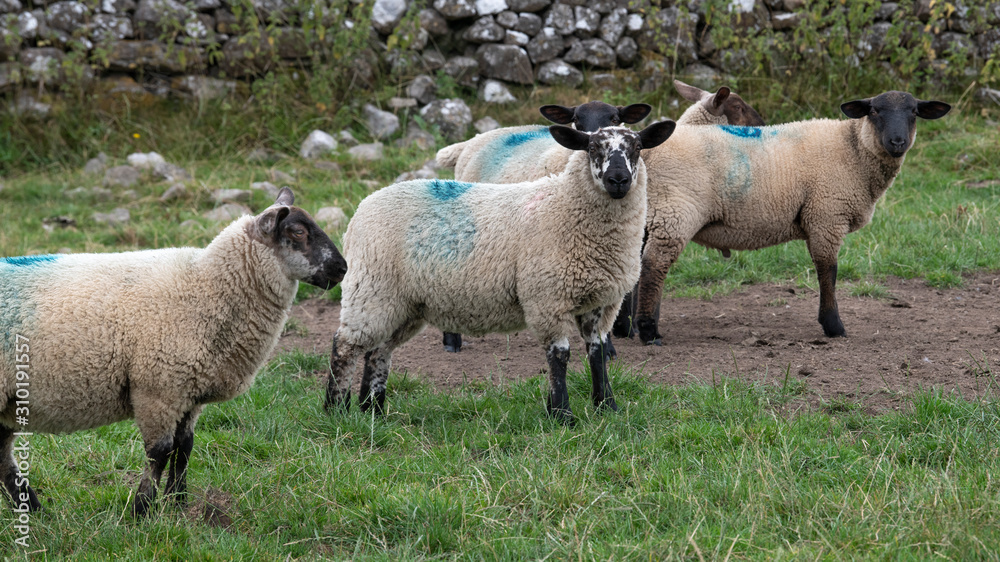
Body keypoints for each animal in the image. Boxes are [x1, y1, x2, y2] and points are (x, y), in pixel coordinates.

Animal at [0, 188, 347, 517]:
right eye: (298, 232)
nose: (342, 269)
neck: (205, 285)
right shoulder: (158, 389)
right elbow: (160, 451)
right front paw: (142, 509)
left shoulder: (188, 393)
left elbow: (185, 447)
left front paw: (176, 501)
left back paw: (33, 509)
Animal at [325, 121, 676, 425]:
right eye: (592, 147)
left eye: (638, 147)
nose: (618, 180)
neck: (566, 206)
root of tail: (363, 208)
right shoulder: (547, 298)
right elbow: (559, 356)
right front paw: (563, 415)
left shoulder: (602, 302)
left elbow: (598, 353)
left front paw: (607, 407)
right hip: (372, 288)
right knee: (345, 346)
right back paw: (336, 410)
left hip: (404, 304)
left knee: (378, 352)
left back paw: (372, 411)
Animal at [631, 90, 950, 345]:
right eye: (874, 112)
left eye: (914, 112)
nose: (897, 142)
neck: (853, 149)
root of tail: (646, 149)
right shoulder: (826, 215)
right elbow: (828, 271)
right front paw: (833, 326)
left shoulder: (821, 218)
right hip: (676, 210)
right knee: (655, 265)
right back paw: (649, 332)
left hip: (649, 214)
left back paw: (636, 326)